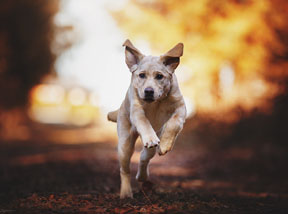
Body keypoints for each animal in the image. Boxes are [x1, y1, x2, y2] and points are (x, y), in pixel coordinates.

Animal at [108, 39, 187, 198]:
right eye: (142, 75)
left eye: (159, 76)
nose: (148, 91)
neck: (156, 102)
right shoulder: (136, 110)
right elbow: (144, 122)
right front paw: (150, 138)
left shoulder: (181, 107)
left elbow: (174, 123)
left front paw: (165, 144)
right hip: (125, 145)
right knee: (124, 170)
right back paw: (126, 192)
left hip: (152, 143)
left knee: (144, 156)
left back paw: (142, 175)